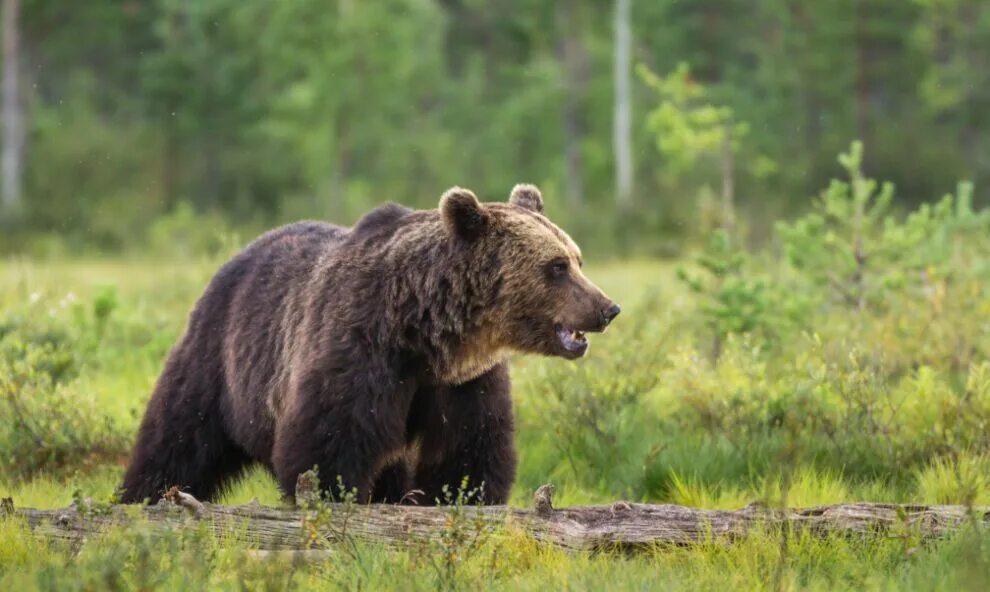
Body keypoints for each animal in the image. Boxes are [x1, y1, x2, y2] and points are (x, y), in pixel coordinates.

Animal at [120, 184, 620, 504]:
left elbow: (468, 449)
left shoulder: (462, 382)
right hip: (222, 357)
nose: (607, 308)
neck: (427, 333)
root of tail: (236, 257)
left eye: (577, 259)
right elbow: (330, 443)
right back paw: (141, 497)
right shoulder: (360, 348)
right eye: (556, 267)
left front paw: (463, 498)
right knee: (179, 438)